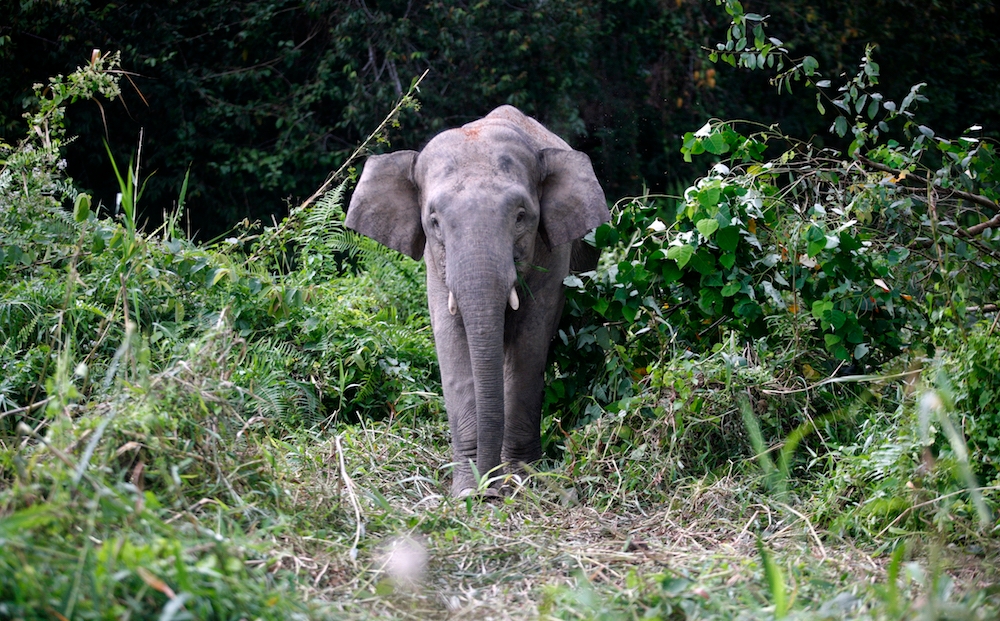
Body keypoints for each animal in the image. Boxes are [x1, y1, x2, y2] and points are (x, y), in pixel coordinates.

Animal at [344, 104, 608, 496]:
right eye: (434, 222)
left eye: (521, 217)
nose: (489, 491)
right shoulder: (435, 264)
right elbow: (451, 342)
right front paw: (468, 490)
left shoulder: (552, 253)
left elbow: (531, 342)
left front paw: (519, 481)